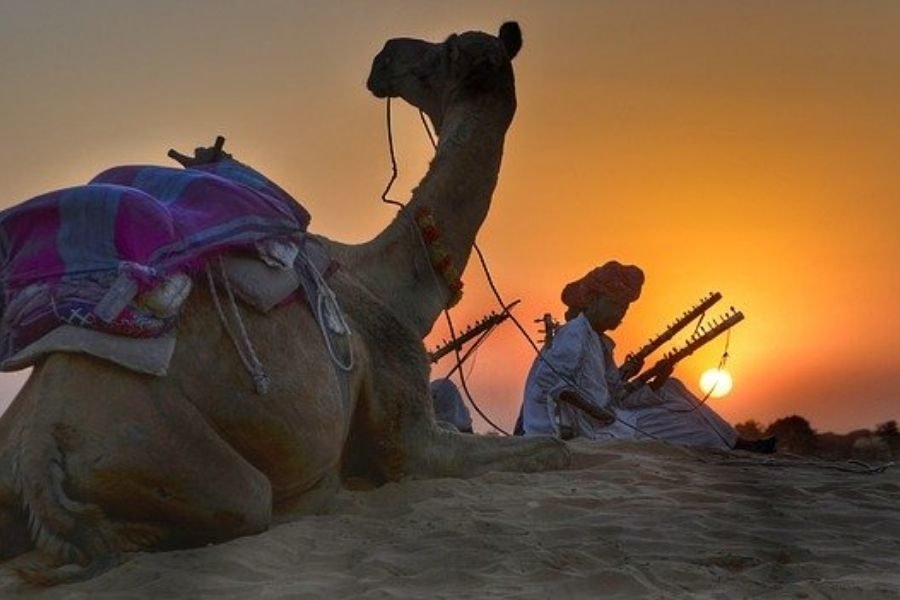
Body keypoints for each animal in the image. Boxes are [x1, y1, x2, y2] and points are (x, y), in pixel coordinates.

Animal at [0, 22, 570, 583]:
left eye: (446, 47)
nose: (385, 56)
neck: (391, 283)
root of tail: (36, 443)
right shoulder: (410, 432)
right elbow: (553, 450)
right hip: (166, 448)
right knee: (236, 506)